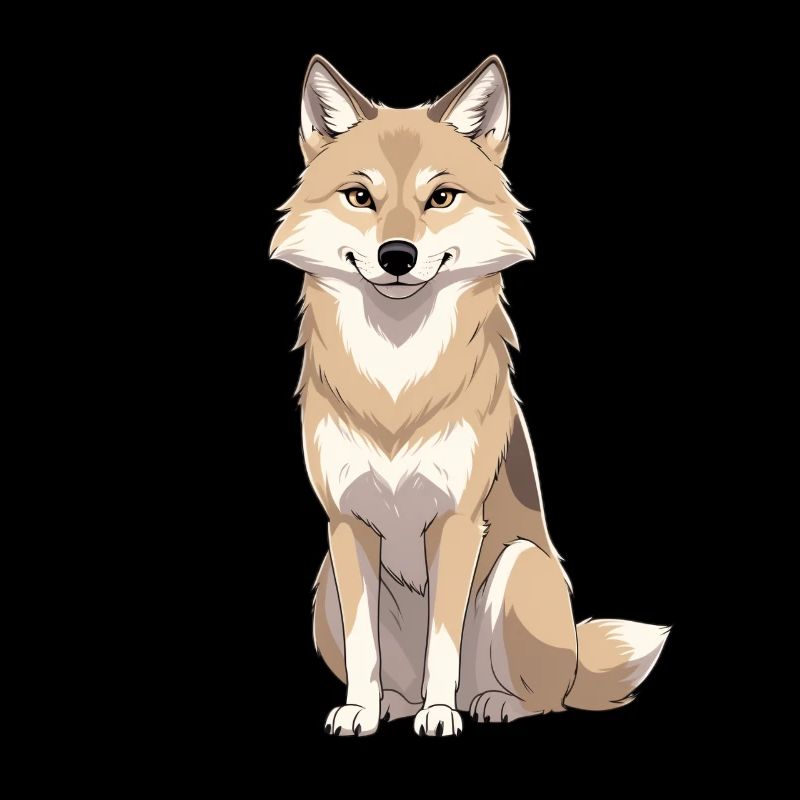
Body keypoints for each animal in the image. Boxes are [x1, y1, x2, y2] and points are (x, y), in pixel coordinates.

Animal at [270, 55, 669, 737]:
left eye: (441, 197)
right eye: (360, 196)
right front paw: (361, 711)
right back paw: (394, 704)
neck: (396, 374)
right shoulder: (344, 525)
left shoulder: (458, 522)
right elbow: (364, 645)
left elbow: (444, 640)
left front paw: (440, 715)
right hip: (324, 584)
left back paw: (488, 703)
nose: (396, 255)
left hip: (518, 567)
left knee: (543, 696)